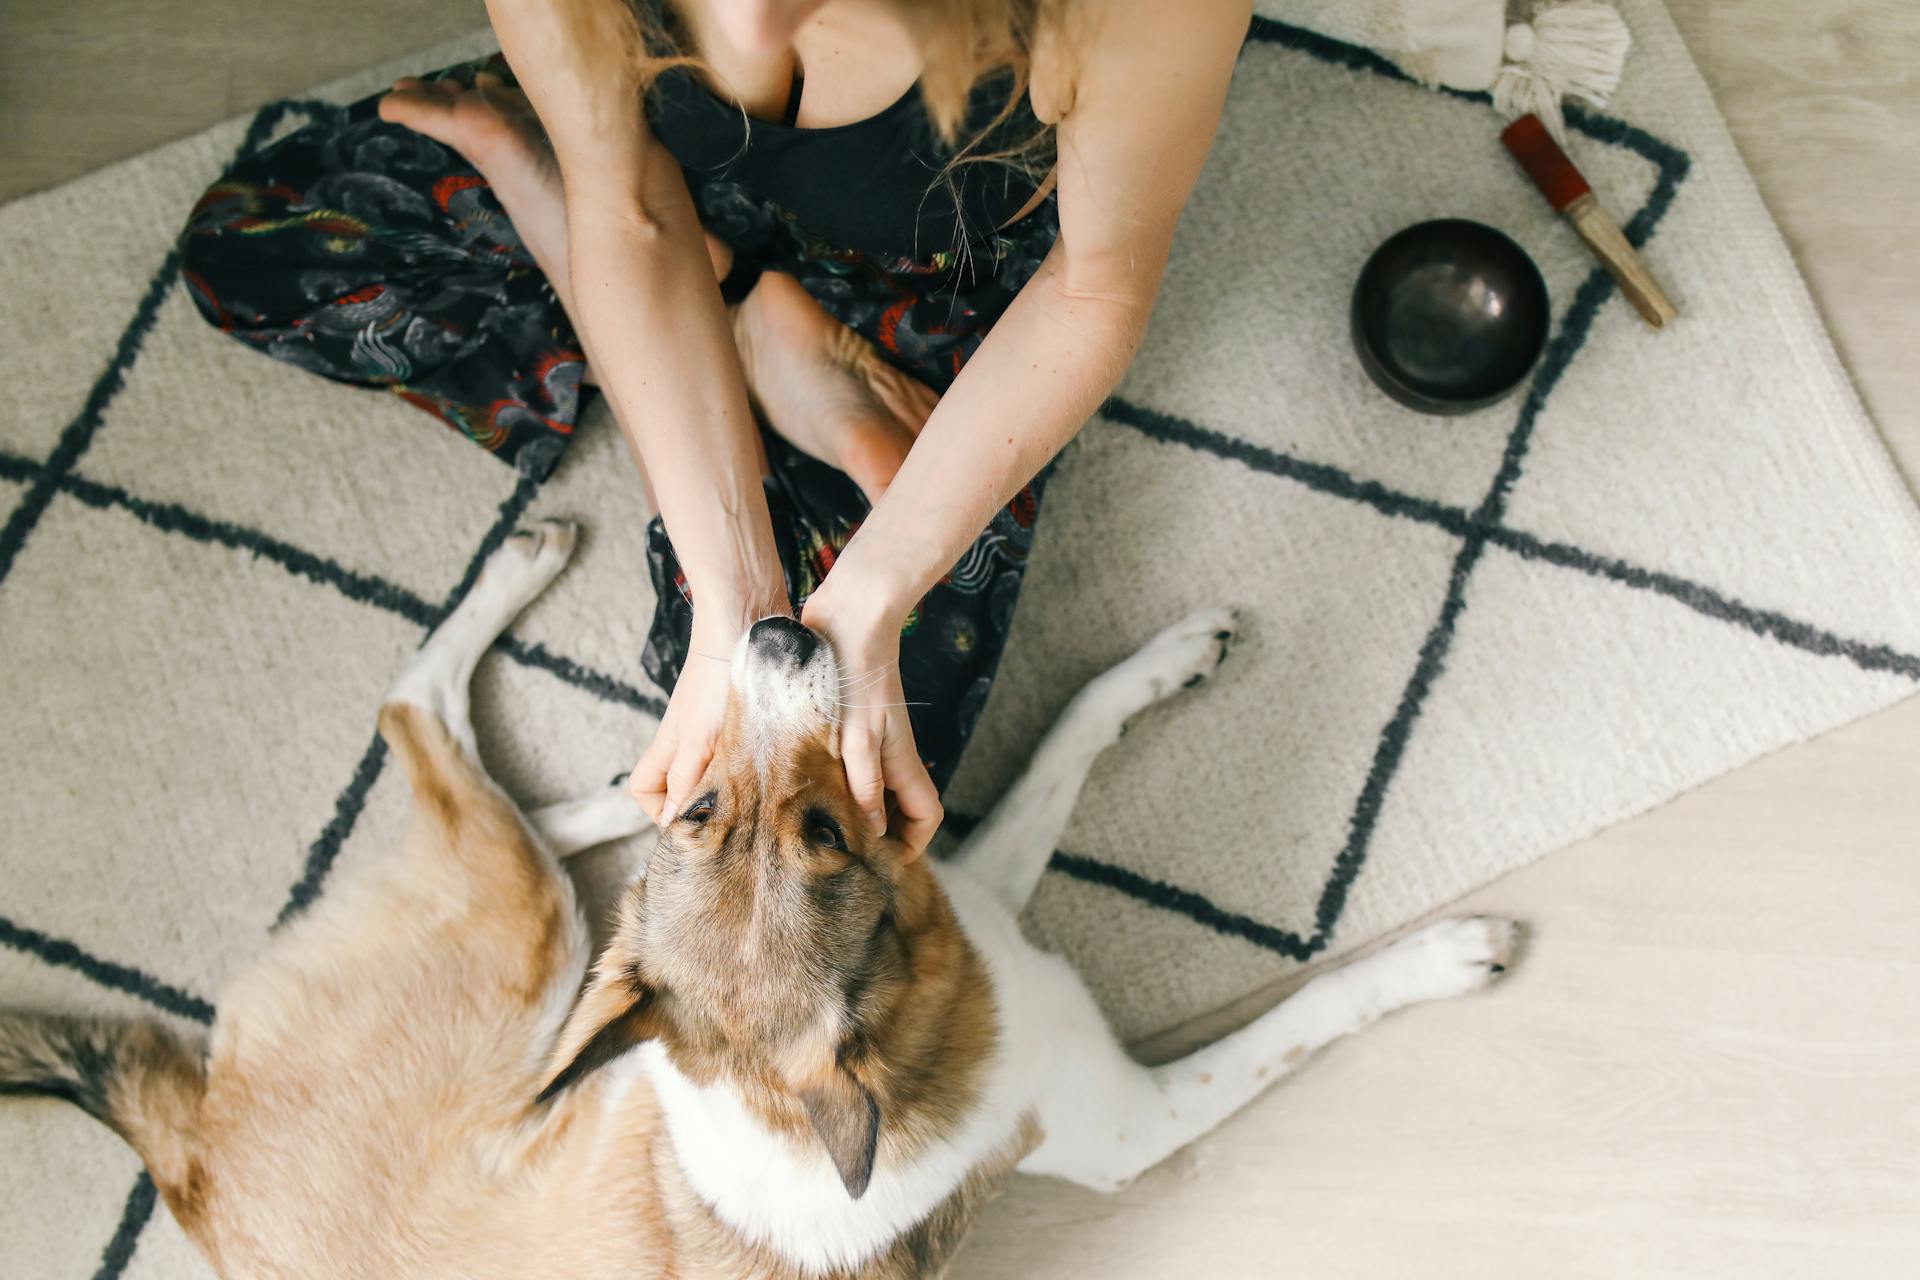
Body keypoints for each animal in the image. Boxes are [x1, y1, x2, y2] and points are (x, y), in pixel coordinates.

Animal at [3, 521, 1512, 1280]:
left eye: (799, 824)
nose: (777, 630)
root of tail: (185, 1156)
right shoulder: (1131, 1115)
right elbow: (1302, 1017)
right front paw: (1448, 956)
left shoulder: (966, 880)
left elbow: (1076, 723)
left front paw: (1168, 660)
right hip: (514, 925)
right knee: (412, 707)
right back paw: (528, 583)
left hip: (558, 950)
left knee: (520, 806)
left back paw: (601, 758)